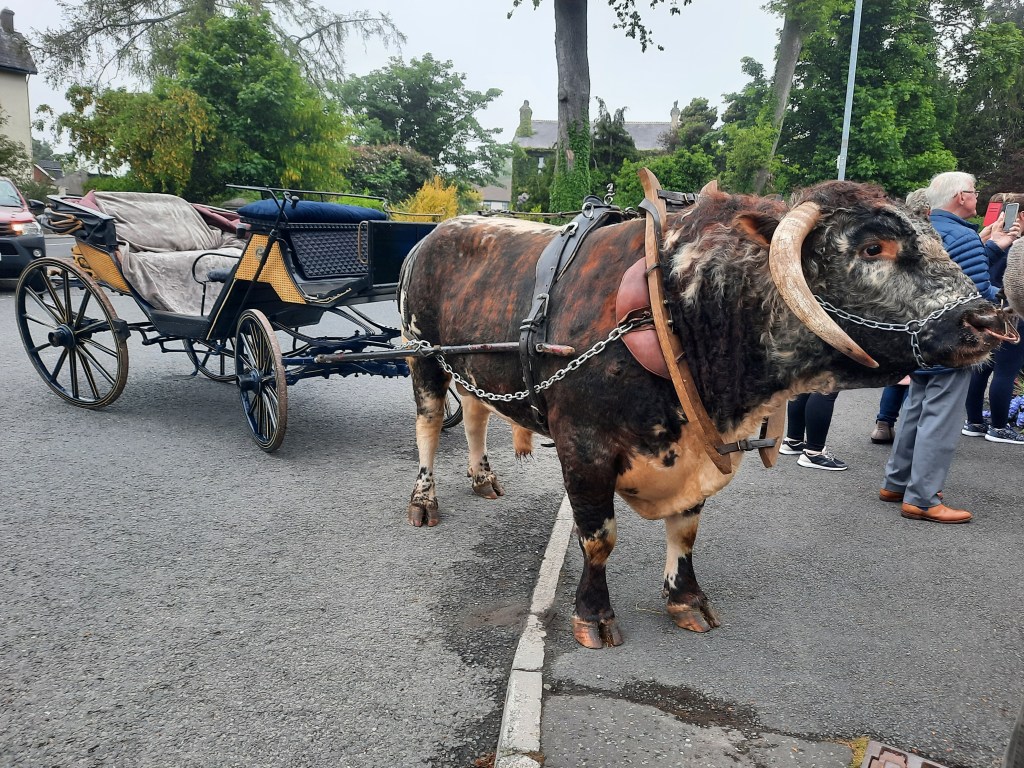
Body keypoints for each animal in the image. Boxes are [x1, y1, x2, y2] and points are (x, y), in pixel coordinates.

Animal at [398, 173, 1013, 649]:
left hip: (475, 368)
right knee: (429, 422)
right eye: (872, 248)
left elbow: (687, 532)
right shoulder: (583, 445)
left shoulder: (697, 448)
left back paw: (483, 478)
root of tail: (439, 230)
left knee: (476, 416)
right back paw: (424, 500)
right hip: (422, 357)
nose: (989, 320)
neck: (676, 308)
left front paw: (687, 599)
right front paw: (594, 616)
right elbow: (599, 537)